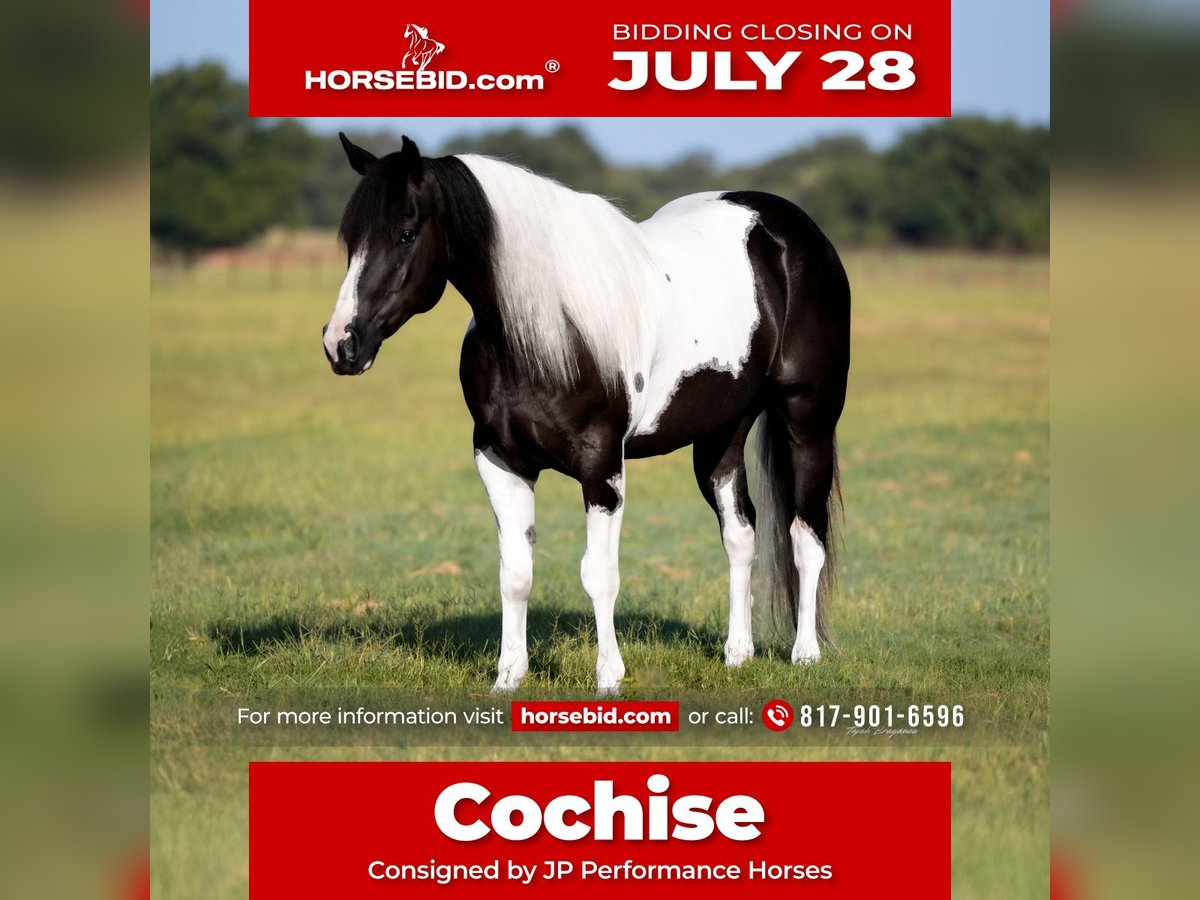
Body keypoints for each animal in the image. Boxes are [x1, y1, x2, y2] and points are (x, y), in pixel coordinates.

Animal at [322, 133, 850, 694]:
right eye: (351, 239)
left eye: (405, 233)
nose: (341, 344)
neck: (548, 330)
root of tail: (790, 229)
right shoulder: (500, 461)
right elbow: (515, 574)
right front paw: (508, 677)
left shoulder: (602, 467)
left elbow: (599, 575)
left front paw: (609, 678)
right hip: (720, 435)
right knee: (741, 535)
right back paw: (737, 655)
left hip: (808, 424)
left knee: (805, 537)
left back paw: (805, 654)